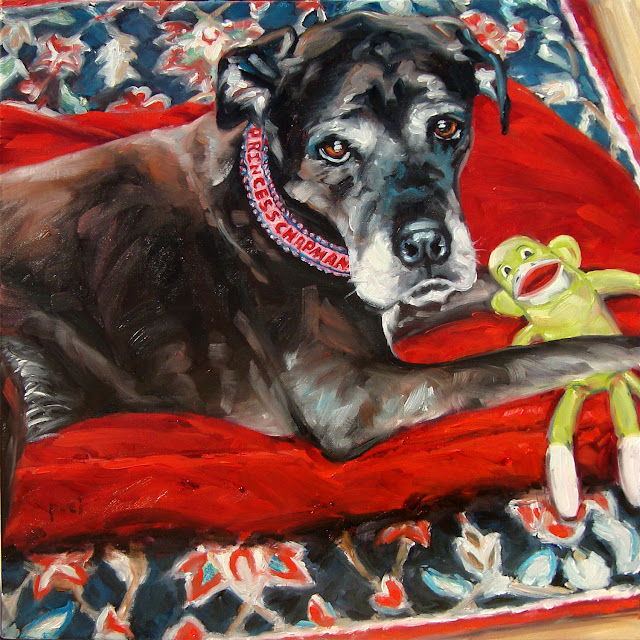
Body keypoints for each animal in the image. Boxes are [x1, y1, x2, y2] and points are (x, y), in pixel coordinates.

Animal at [1, 13, 640, 524]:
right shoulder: (357, 396)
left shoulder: (402, 308)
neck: (281, 218)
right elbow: (524, 360)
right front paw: (619, 348)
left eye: (446, 127)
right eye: (333, 148)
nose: (426, 244)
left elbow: (489, 291)